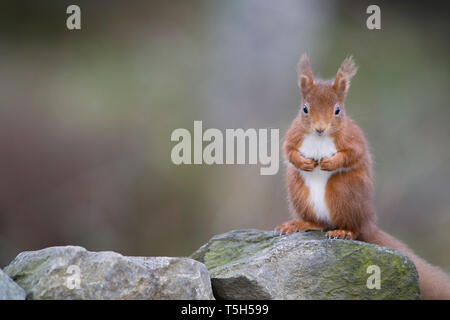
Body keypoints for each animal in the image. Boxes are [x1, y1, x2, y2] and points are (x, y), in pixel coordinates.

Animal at [276, 54, 450, 300]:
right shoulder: (293, 135)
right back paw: (300, 224)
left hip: (343, 191)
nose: (320, 129)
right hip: (299, 192)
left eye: (337, 110)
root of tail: (367, 220)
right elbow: (288, 151)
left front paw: (330, 163)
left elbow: (352, 155)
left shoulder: (353, 139)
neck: (319, 139)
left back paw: (344, 231)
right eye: (305, 109)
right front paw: (304, 162)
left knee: (353, 228)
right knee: (319, 223)